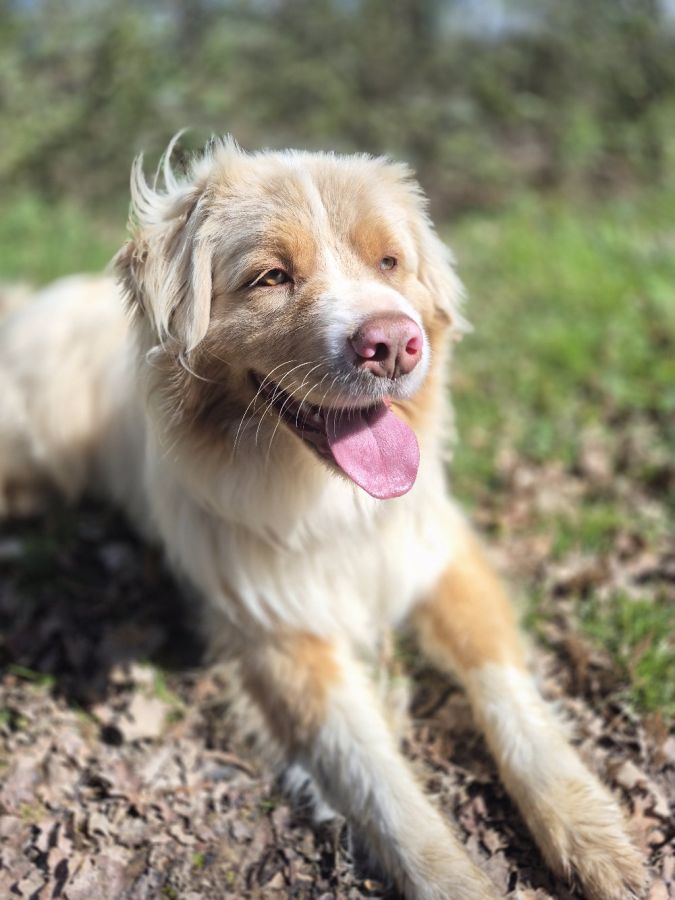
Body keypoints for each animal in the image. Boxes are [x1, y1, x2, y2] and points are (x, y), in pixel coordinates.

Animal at [0, 137, 645, 899]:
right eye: (271, 277)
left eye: (389, 262)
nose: (394, 344)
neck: (329, 498)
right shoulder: (281, 634)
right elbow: (381, 784)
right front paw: (459, 881)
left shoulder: (441, 556)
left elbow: (510, 696)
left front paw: (591, 833)